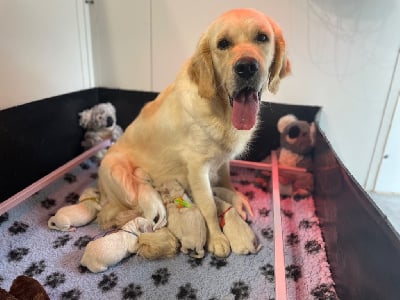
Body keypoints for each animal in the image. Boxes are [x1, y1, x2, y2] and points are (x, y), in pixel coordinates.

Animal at [97, 8, 290, 256]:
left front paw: (236, 199)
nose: (246, 66)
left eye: (262, 37)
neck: (221, 110)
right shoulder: (197, 167)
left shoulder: (222, 159)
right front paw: (217, 238)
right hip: (118, 174)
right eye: (223, 43)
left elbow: (227, 180)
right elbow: (208, 205)